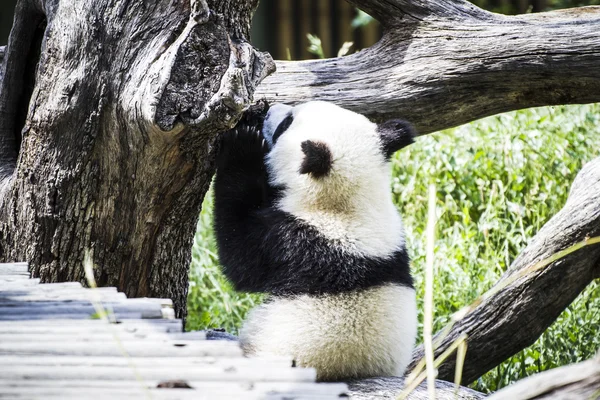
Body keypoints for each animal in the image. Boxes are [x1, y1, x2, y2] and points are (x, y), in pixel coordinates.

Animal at [213, 100, 414, 382]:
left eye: (286, 123)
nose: (269, 108)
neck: (349, 205)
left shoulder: (294, 240)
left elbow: (240, 259)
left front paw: (243, 142)